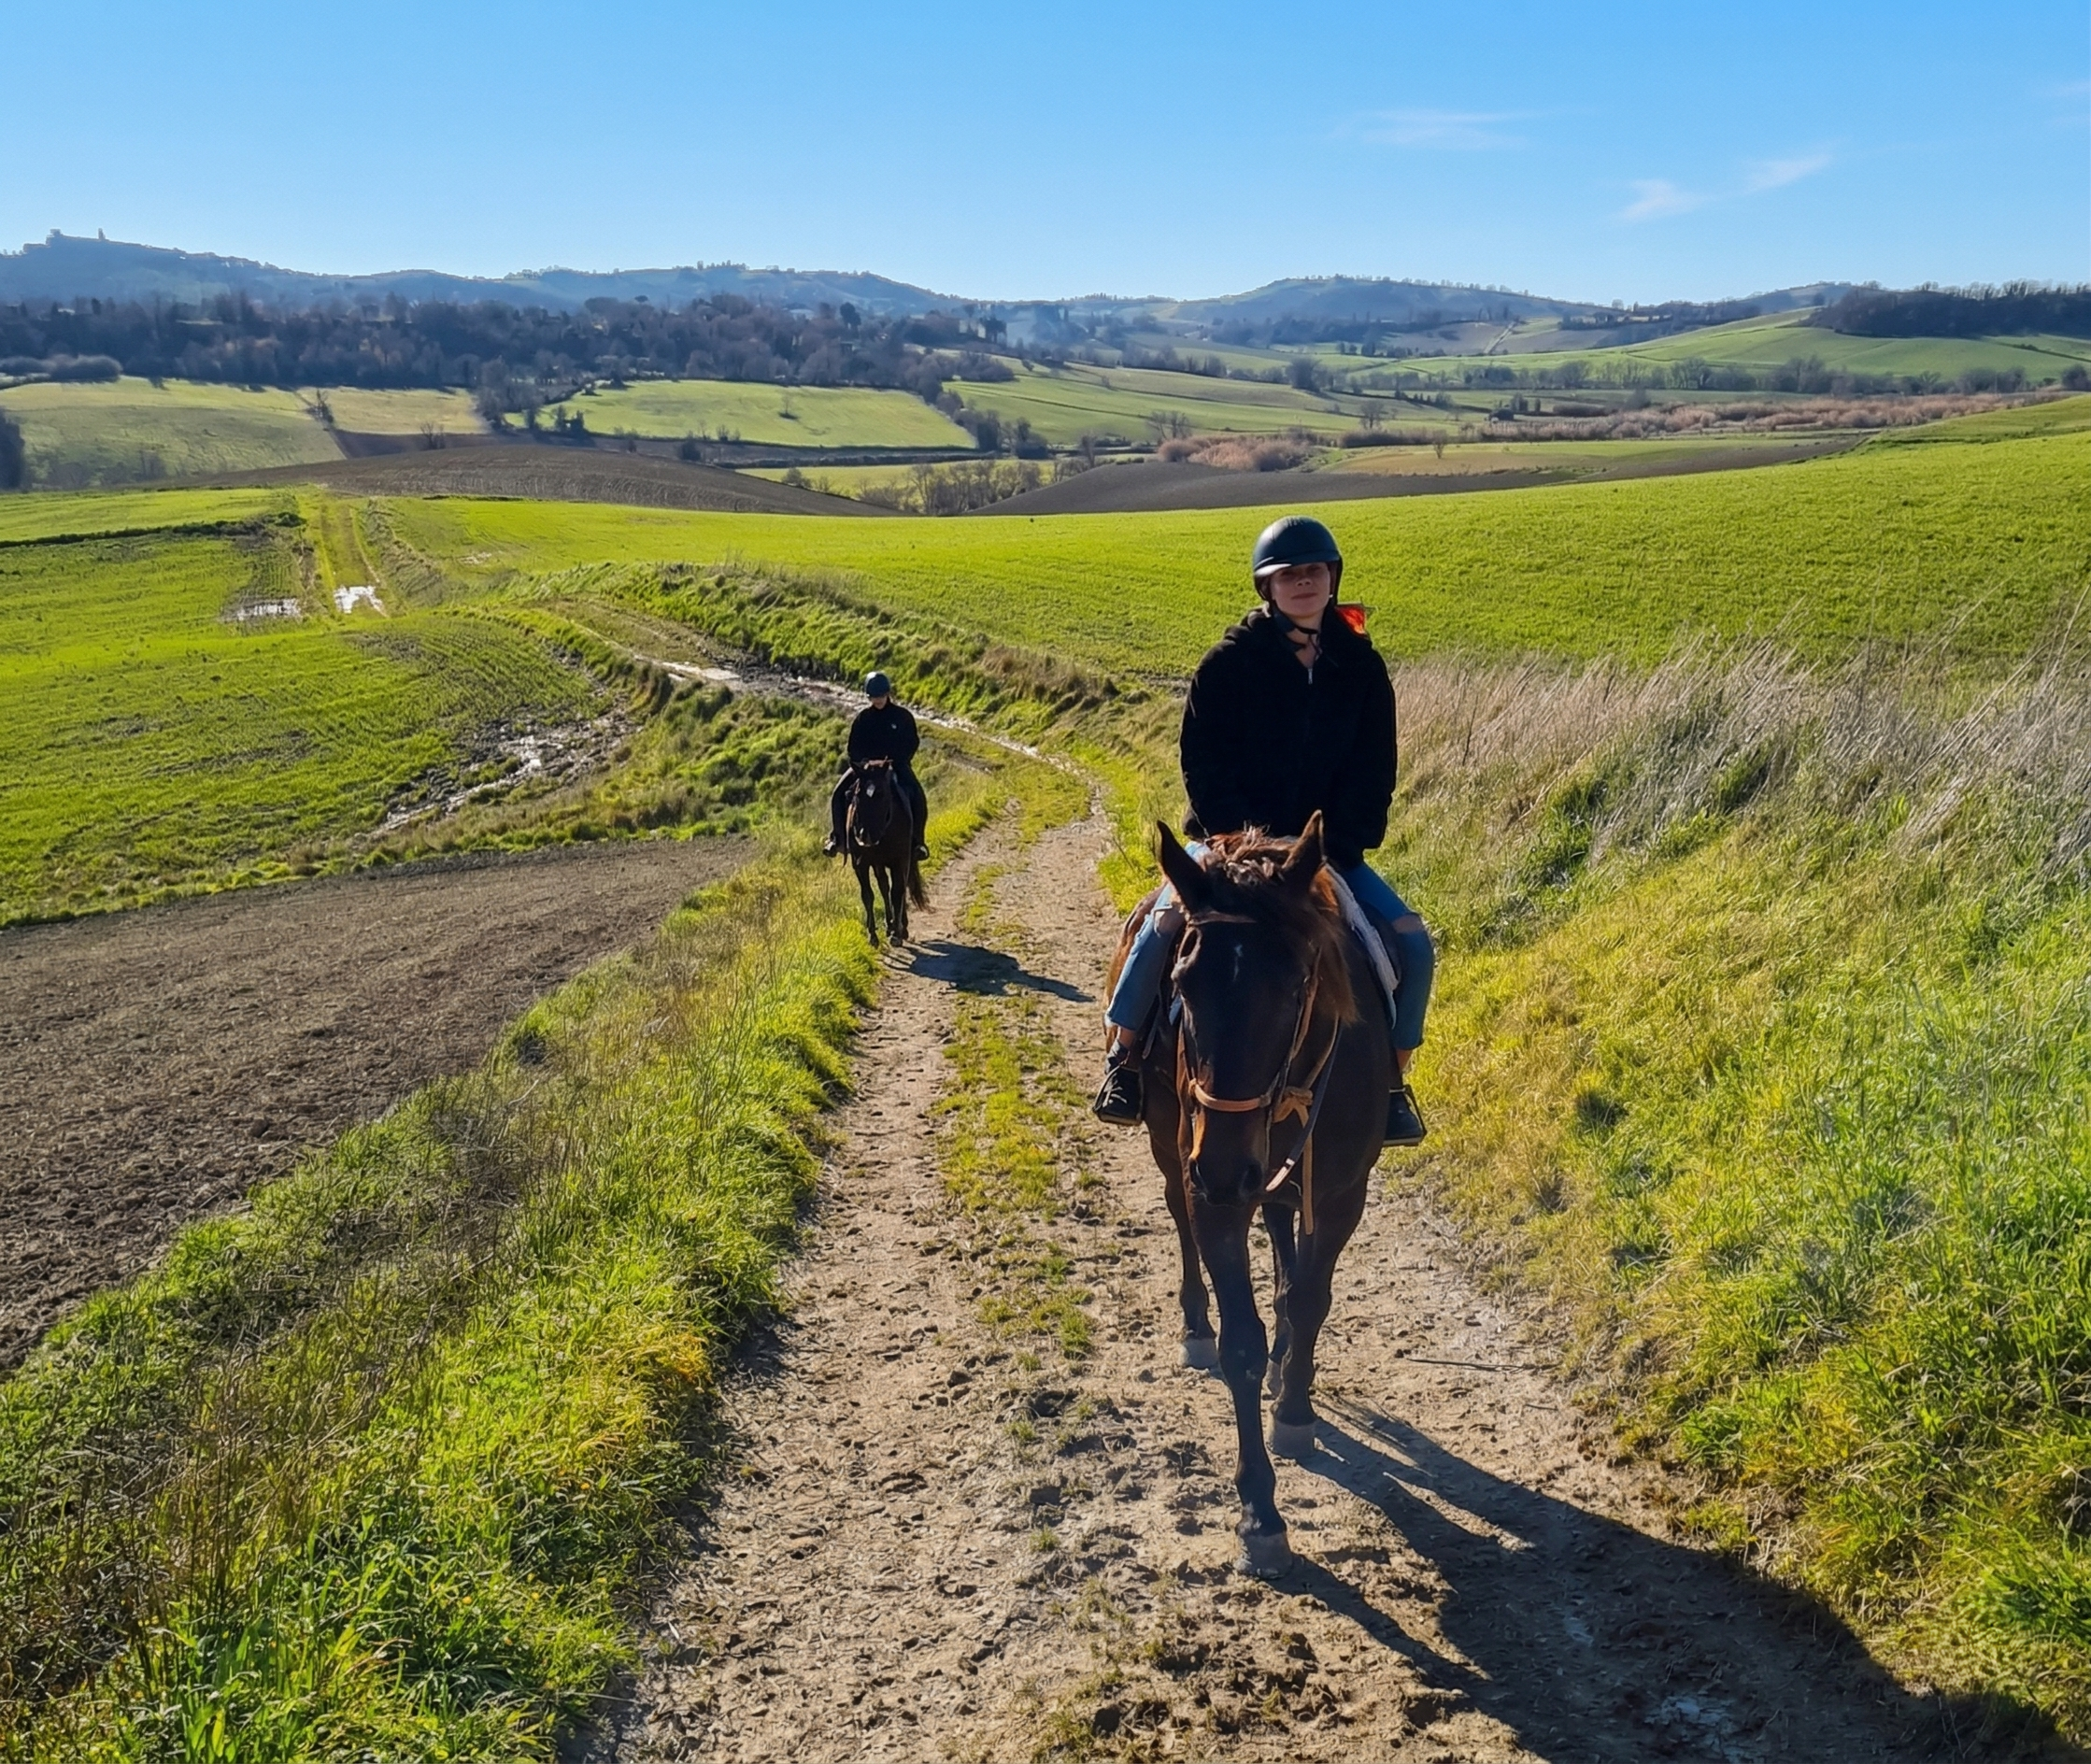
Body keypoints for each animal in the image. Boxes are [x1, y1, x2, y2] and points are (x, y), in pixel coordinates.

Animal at [845, 758, 926, 945]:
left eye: (881, 794)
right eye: (857, 793)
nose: (865, 835)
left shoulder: (900, 860)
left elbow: (897, 892)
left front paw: (898, 934)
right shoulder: (860, 863)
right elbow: (868, 895)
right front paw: (873, 935)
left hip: (905, 860)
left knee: (900, 887)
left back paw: (901, 927)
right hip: (878, 863)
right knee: (883, 886)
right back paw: (890, 925)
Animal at [1110, 811, 1392, 1576]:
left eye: (1296, 987)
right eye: (1182, 984)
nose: (1224, 1167)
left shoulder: (1342, 1189)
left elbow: (1312, 1297)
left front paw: (1293, 1404)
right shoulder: (1213, 1186)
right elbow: (1241, 1336)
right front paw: (1260, 1512)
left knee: (1283, 1242)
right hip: (1175, 1148)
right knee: (1182, 1220)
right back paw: (1194, 1325)